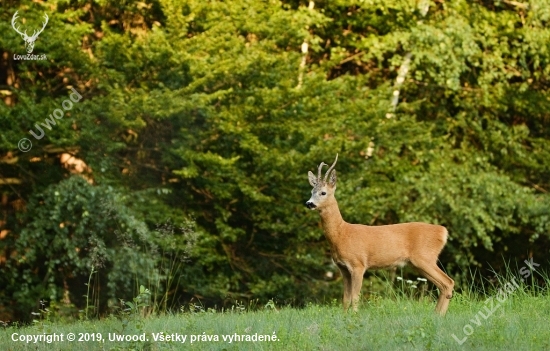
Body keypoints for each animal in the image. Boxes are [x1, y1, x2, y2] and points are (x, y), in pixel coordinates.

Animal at [306, 154, 458, 316]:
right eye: (311, 191)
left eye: (323, 192)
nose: (309, 203)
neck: (341, 234)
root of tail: (443, 231)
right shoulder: (343, 268)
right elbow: (345, 299)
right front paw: (344, 317)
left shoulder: (358, 264)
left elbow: (355, 296)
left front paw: (354, 317)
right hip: (419, 263)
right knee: (443, 284)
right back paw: (436, 315)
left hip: (425, 257)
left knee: (448, 282)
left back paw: (439, 315)